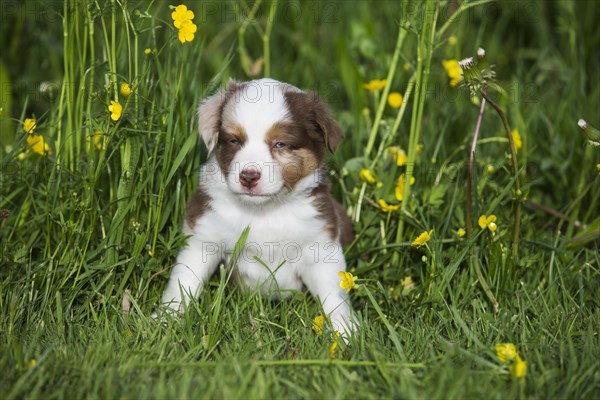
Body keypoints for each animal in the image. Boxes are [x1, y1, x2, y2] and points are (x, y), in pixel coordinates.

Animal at [158, 77, 356, 338]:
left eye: (280, 144)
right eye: (234, 141)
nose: (249, 176)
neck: (264, 210)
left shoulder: (321, 246)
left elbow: (334, 294)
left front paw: (346, 332)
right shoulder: (203, 237)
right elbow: (183, 282)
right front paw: (164, 321)